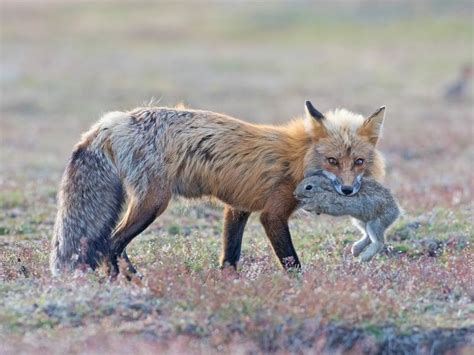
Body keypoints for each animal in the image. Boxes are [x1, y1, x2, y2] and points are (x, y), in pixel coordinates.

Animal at [50, 100, 386, 276]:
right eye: (332, 160)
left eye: (358, 161)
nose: (347, 191)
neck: (296, 158)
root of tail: (116, 120)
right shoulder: (272, 214)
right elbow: (292, 263)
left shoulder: (238, 208)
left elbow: (230, 258)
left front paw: (229, 285)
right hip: (153, 203)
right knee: (111, 242)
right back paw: (122, 281)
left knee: (112, 244)